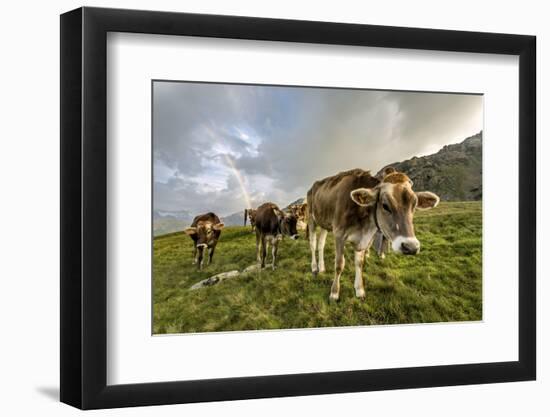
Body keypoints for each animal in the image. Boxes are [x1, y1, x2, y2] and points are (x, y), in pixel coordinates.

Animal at [308, 167, 442, 300]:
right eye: (385, 205)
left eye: (414, 205)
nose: (411, 247)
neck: (363, 223)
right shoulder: (339, 234)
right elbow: (339, 264)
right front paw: (334, 293)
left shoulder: (364, 238)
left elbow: (359, 263)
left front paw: (359, 290)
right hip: (311, 219)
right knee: (313, 244)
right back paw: (314, 268)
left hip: (325, 224)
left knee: (321, 245)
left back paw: (322, 268)